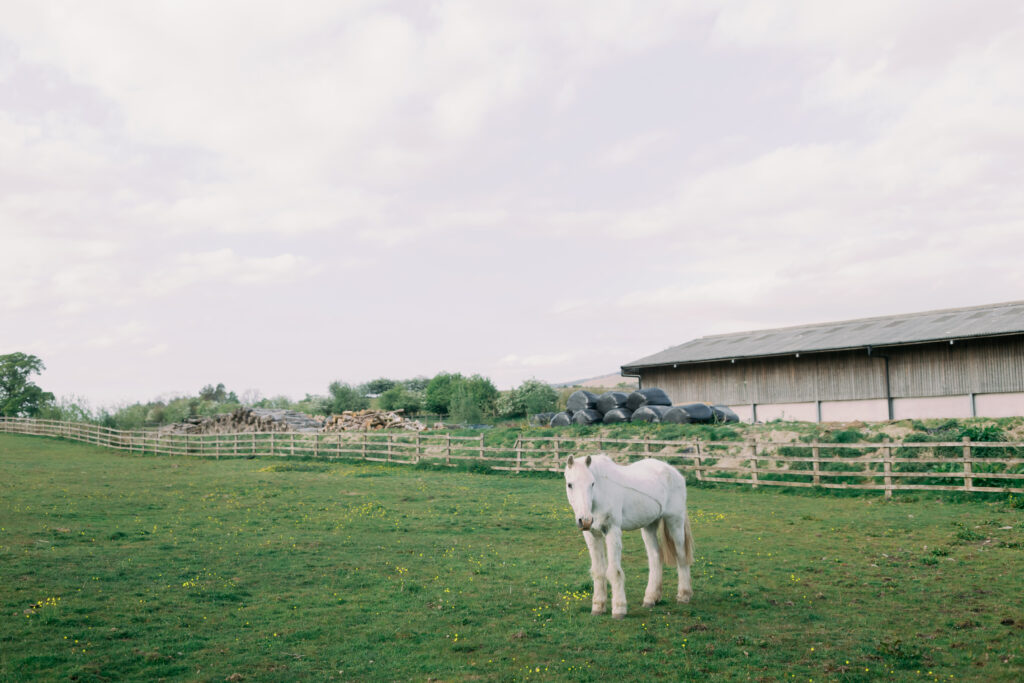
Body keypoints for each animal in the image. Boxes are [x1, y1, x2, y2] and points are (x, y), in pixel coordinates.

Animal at [563, 453, 694, 619]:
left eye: (592, 483)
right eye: (570, 484)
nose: (585, 520)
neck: (601, 493)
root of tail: (675, 473)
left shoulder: (612, 531)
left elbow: (614, 571)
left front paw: (619, 609)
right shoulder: (592, 535)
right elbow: (598, 571)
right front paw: (598, 607)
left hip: (675, 521)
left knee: (681, 556)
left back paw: (684, 595)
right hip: (649, 525)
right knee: (655, 557)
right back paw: (651, 598)